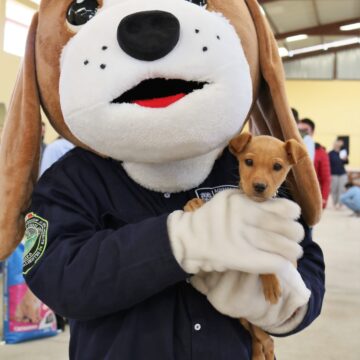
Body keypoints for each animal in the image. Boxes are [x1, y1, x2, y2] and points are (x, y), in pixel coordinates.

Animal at [186, 132, 306, 360]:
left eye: (277, 166)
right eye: (248, 162)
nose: (259, 186)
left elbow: (268, 259)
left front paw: (270, 282)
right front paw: (193, 204)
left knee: (265, 339)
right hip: (243, 318)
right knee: (256, 337)